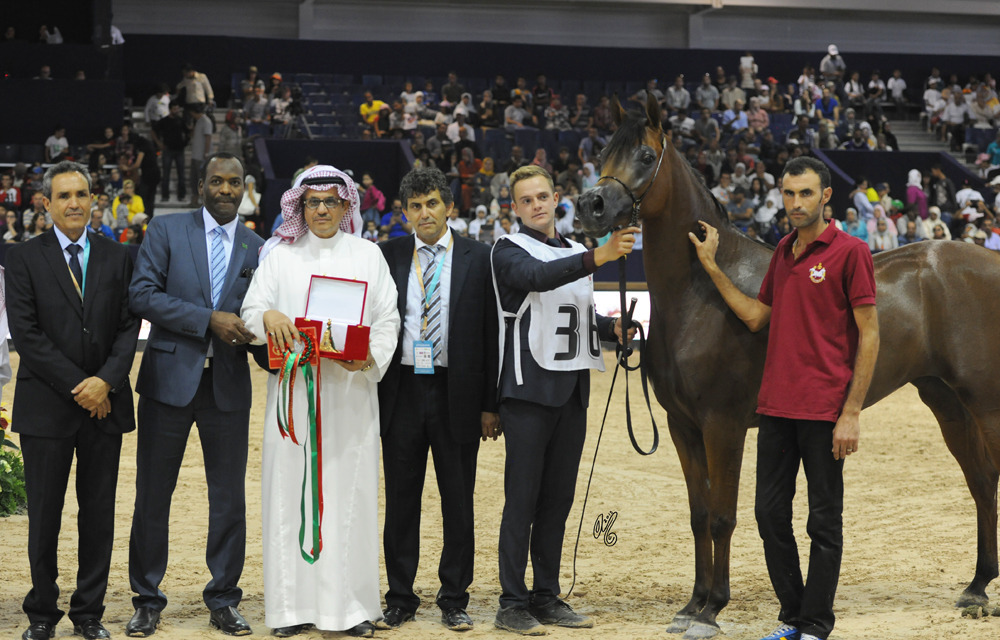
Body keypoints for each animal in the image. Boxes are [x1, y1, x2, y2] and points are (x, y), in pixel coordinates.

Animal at [576, 93, 1000, 639]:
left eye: (646, 156)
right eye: (603, 152)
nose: (590, 206)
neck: (701, 294)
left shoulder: (723, 425)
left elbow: (722, 516)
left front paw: (712, 609)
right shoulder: (681, 426)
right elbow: (697, 514)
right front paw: (691, 604)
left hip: (985, 403)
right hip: (945, 400)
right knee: (981, 481)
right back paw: (977, 587)